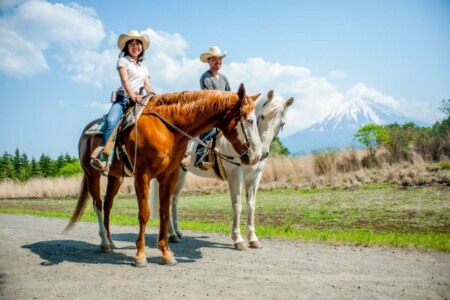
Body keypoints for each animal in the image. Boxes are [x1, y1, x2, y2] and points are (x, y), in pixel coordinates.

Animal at [63, 84, 260, 268]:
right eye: (250, 120)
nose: (256, 156)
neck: (168, 128)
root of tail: (86, 131)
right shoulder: (142, 175)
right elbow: (144, 213)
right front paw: (140, 256)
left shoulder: (169, 175)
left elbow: (164, 211)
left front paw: (166, 253)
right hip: (92, 174)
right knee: (97, 204)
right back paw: (104, 242)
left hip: (115, 178)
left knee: (107, 205)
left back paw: (111, 242)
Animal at [149, 90, 294, 250]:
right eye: (262, 116)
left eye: (282, 123)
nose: (260, 154)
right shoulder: (235, 175)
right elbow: (237, 206)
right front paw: (238, 239)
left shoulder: (255, 177)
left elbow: (251, 206)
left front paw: (253, 238)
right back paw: (172, 234)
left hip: (181, 173)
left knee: (174, 200)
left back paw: (177, 232)